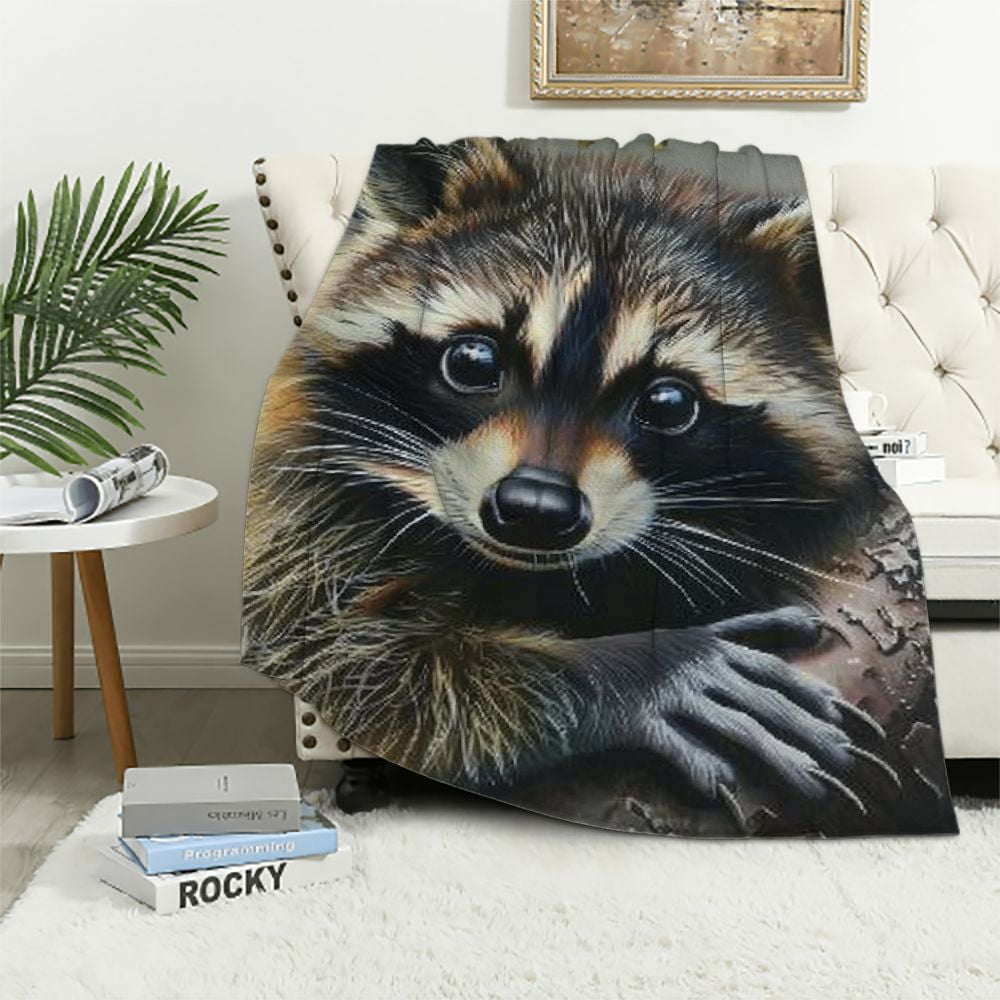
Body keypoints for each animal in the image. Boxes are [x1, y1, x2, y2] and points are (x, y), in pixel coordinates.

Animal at [244, 137, 953, 836]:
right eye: (473, 361)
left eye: (669, 403)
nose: (533, 508)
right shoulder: (296, 510)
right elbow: (330, 649)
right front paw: (628, 674)